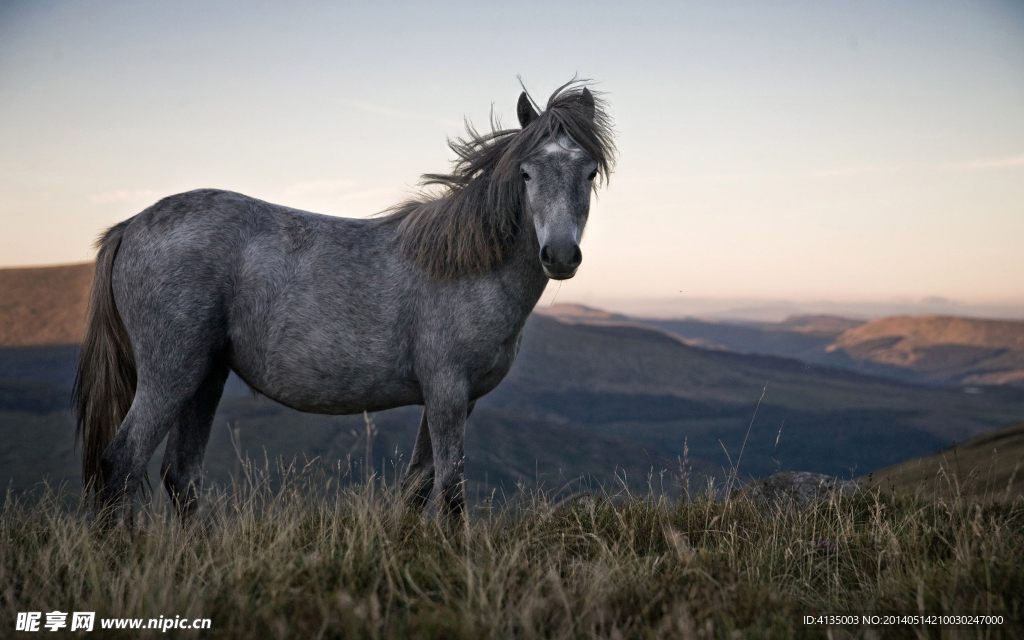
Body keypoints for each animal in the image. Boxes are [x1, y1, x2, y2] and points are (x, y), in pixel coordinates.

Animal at [75, 80, 614, 520]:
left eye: (589, 172)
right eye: (526, 173)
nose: (560, 255)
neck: (465, 266)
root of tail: (130, 226)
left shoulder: (457, 399)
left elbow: (418, 486)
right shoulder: (446, 391)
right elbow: (450, 490)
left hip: (205, 376)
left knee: (180, 476)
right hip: (170, 374)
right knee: (121, 463)